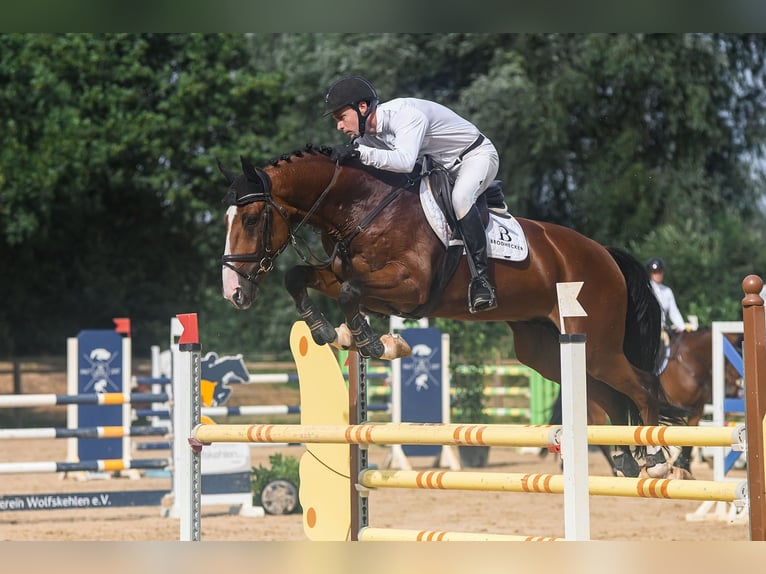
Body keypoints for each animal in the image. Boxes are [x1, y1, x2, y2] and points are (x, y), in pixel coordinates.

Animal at [219, 145, 688, 482]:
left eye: (253, 217)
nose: (233, 292)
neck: (364, 206)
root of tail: (604, 254)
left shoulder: (408, 288)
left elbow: (352, 294)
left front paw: (373, 341)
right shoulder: (345, 277)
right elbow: (299, 278)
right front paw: (329, 332)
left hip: (598, 344)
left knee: (643, 386)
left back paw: (656, 458)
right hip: (546, 349)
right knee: (606, 395)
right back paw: (625, 458)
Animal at [544, 326, 748, 480]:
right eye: (736, 355)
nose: (737, 389)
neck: (689, 362)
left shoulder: (696, 409)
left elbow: (689, 439)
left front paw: (684, 468)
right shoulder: (678, 407)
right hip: (595, 407)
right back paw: (613, 468)